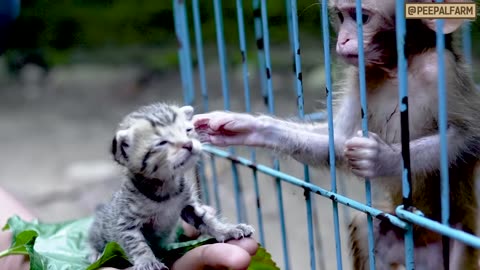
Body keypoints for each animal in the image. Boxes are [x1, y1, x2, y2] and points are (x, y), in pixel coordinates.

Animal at [88, 102, 256, 268]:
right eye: (162, 142)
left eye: (188, 130)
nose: (188, 144)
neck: (167, 187)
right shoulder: (126, 222)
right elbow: (136, 243)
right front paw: (147, 261)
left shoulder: (189, 205)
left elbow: (207, 219)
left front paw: (228, 229)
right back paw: (94, 254)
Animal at [193, 1, 480, 268]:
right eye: (342, 17)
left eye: (362, 18)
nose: (343, 39)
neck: (399, 70)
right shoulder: (361, 75)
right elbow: (337, 141)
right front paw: (245, 127)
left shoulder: (442, 71)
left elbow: (467, 138)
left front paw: (381, 158)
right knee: (367, 230)